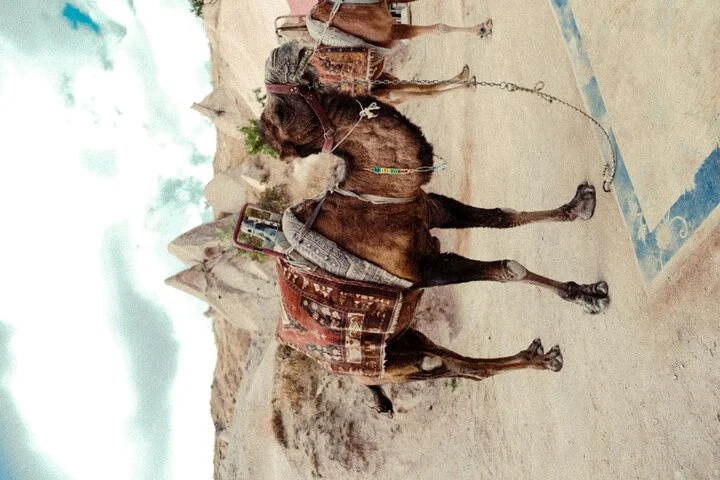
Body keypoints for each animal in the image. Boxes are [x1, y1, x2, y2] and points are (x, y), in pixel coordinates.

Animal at [259, 41, 610, 416]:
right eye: (279, 113)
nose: (282, 50)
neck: (376, 194)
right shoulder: (425, 270)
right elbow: (509, 269)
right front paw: (589, 297)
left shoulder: (432, 209)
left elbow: (502, 216)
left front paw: (579, 208)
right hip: (395, 367)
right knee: (453, 366)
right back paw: (542, 361)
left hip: (405, 342)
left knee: (456, 363)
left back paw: (533, 356)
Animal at [298, 0, 493, 103]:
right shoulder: (392, 31)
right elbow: (440, 28)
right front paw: (482, 29)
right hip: (379, 93)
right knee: (407, 93)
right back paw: (467, 83)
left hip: (381, 80)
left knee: (417, 88)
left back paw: (466, 78)